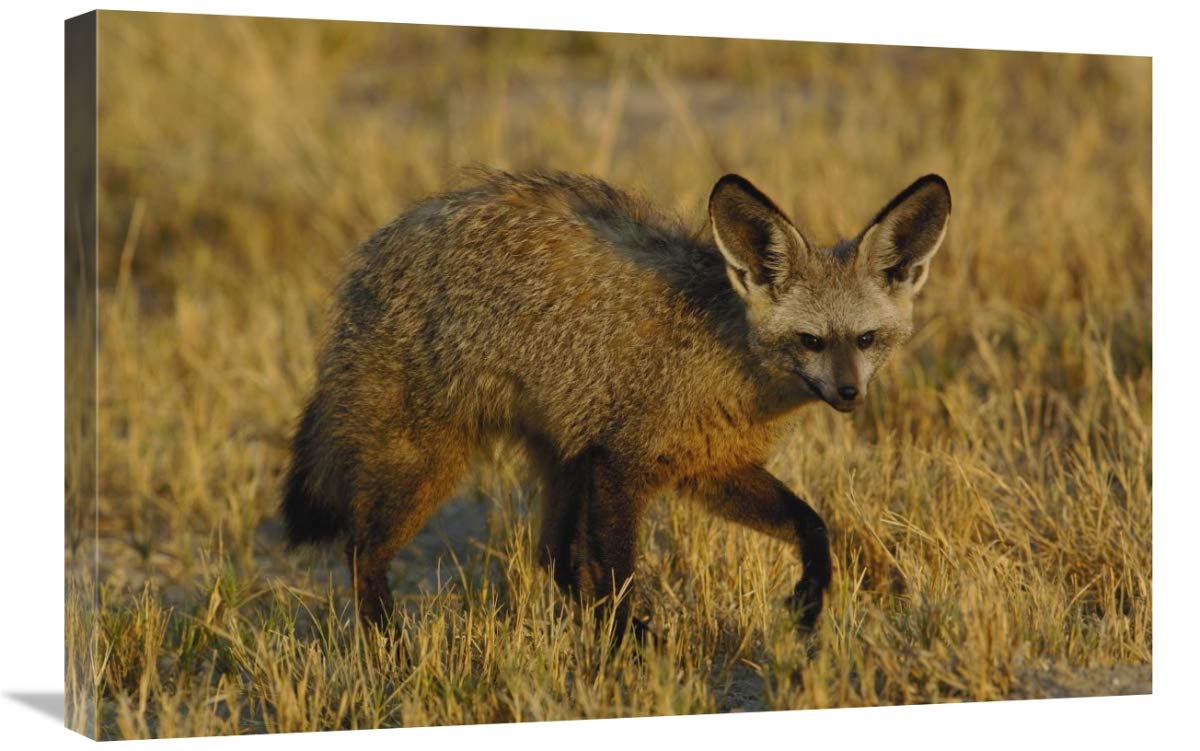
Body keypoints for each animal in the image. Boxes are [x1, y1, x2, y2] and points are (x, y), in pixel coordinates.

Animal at [282, 168, 951, 638]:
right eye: (811, 341)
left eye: (866, 340)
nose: (849, 395)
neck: (722, 360)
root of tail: (379, 244)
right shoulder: (622, 463)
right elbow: (619, 579)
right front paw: (639, 647)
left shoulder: (710, 467)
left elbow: (813, 523)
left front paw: (809, 600)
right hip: (427, 464)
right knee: (362, 551)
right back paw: (388, 646)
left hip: (561, 460)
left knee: (551, 558)